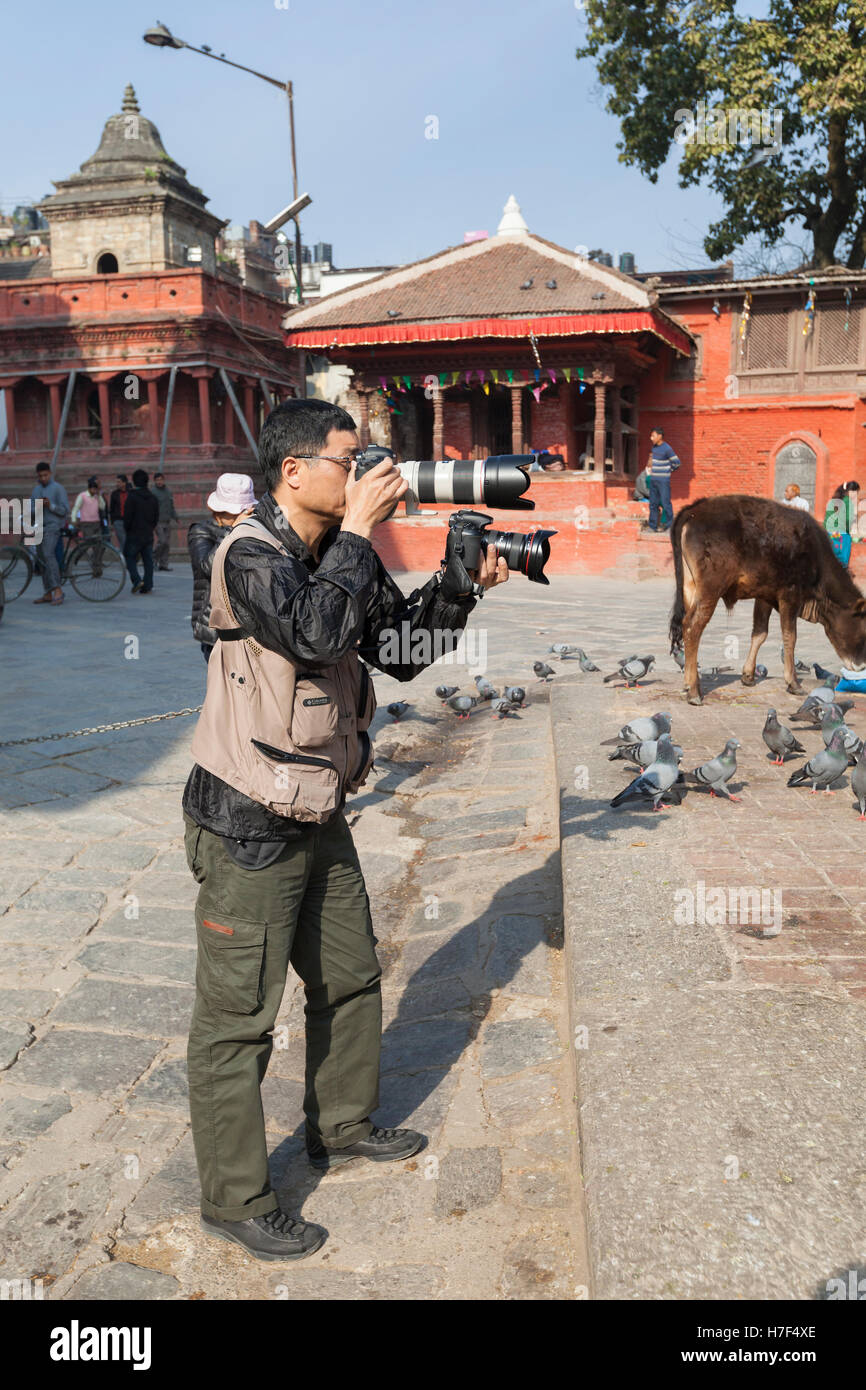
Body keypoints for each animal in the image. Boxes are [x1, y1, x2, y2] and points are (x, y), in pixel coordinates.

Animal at [670, 494, 866, 700]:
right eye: (863, 629)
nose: (860, 665)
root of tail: (694, 510)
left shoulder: (764, 595)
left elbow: (759, 633)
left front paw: (748, 676)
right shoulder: (790, 595)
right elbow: (790, 637)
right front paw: (793, 682)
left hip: (690, 587)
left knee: (686, 625)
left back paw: (687, 684)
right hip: (711, 588)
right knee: (692, 626)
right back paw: (694, 690)